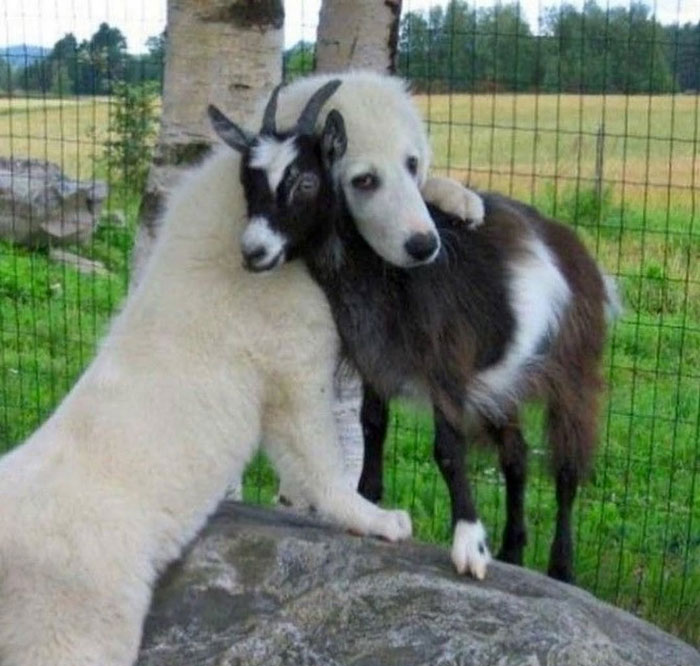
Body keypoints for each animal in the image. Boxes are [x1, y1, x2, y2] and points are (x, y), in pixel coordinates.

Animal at [211, 100, 619, 583]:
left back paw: (561, 568)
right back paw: (514, 552)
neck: (381, 272)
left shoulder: (446, 369)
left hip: (573, 370)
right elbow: (372, 425)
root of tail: (579, 253)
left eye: (306, 181)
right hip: (504, 382)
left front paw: (470, 545)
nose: (253, 252)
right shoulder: (375, 360)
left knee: (567, 469)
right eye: (247, 180)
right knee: (516, 458)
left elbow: (448, 450)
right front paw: (371, 502)